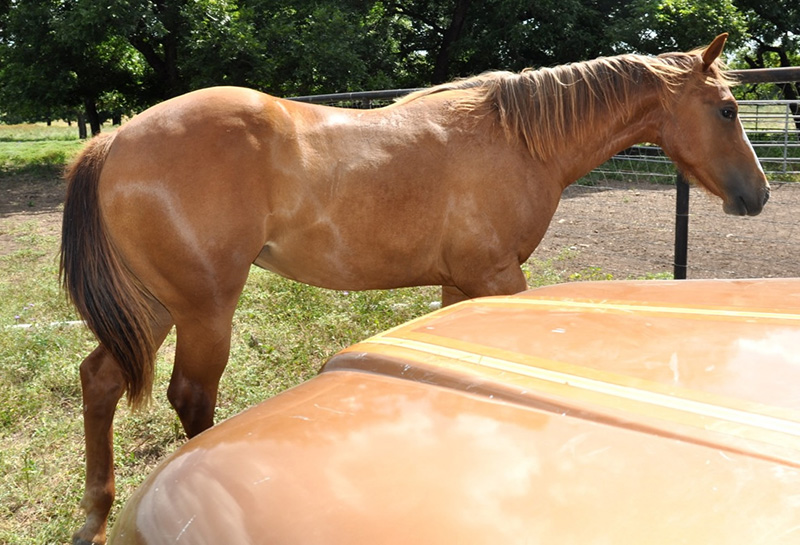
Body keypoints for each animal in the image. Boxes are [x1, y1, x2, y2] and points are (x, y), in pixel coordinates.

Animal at [64, 33, 768, 540]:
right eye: (728, 109)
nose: (758, 195)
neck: (516, 140)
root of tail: (116, 140)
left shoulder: (461, 287)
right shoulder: (497, 277)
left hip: (157, 306)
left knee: (99, 380)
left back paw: (94, 518)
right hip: (204, 309)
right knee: (190, 397)